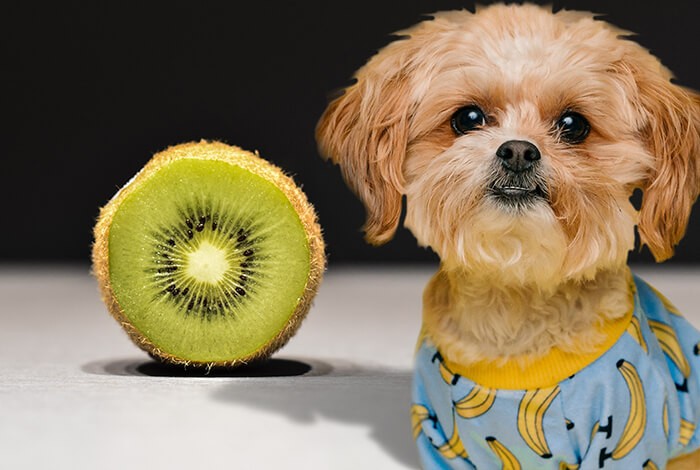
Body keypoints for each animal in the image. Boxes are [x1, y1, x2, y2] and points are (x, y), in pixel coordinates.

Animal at [316, 3, 700, 470]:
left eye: (574, 125)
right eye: (468, 119)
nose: (518, 150)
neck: (516, 293)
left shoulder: (626, 443)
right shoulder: (439, 440)